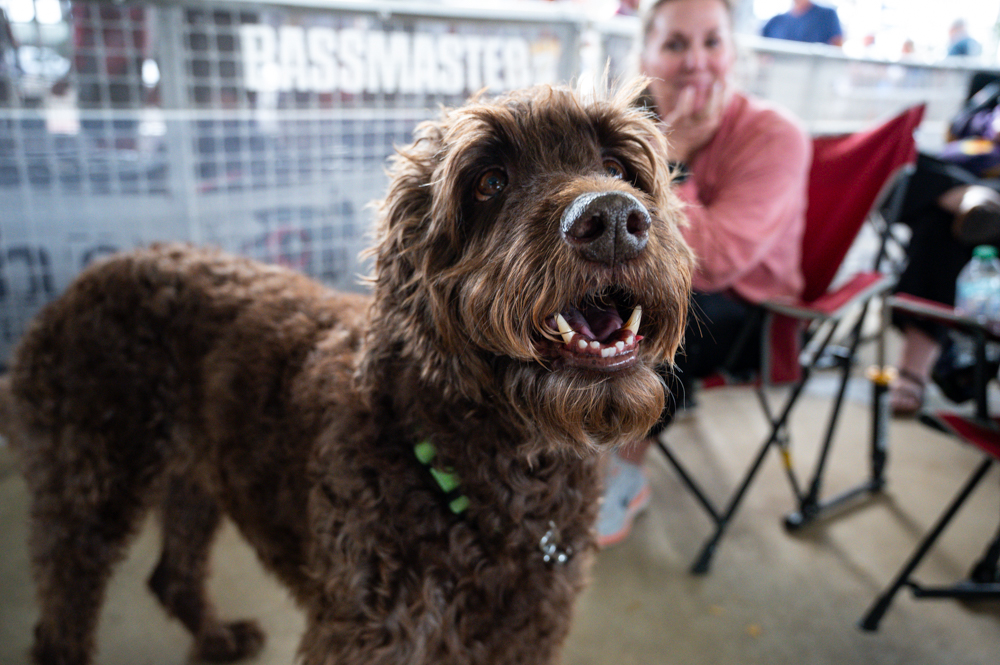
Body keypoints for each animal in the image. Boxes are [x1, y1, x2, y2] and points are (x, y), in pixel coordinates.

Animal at [0, 80, 692, 665]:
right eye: (489, 182)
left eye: (618, 169)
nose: (612, 220)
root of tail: (71, 293)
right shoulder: (368, 635)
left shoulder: (523, 636)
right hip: (88, 495)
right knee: (60, 620)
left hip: (195, 477)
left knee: (171, 576)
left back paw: (218, 638)